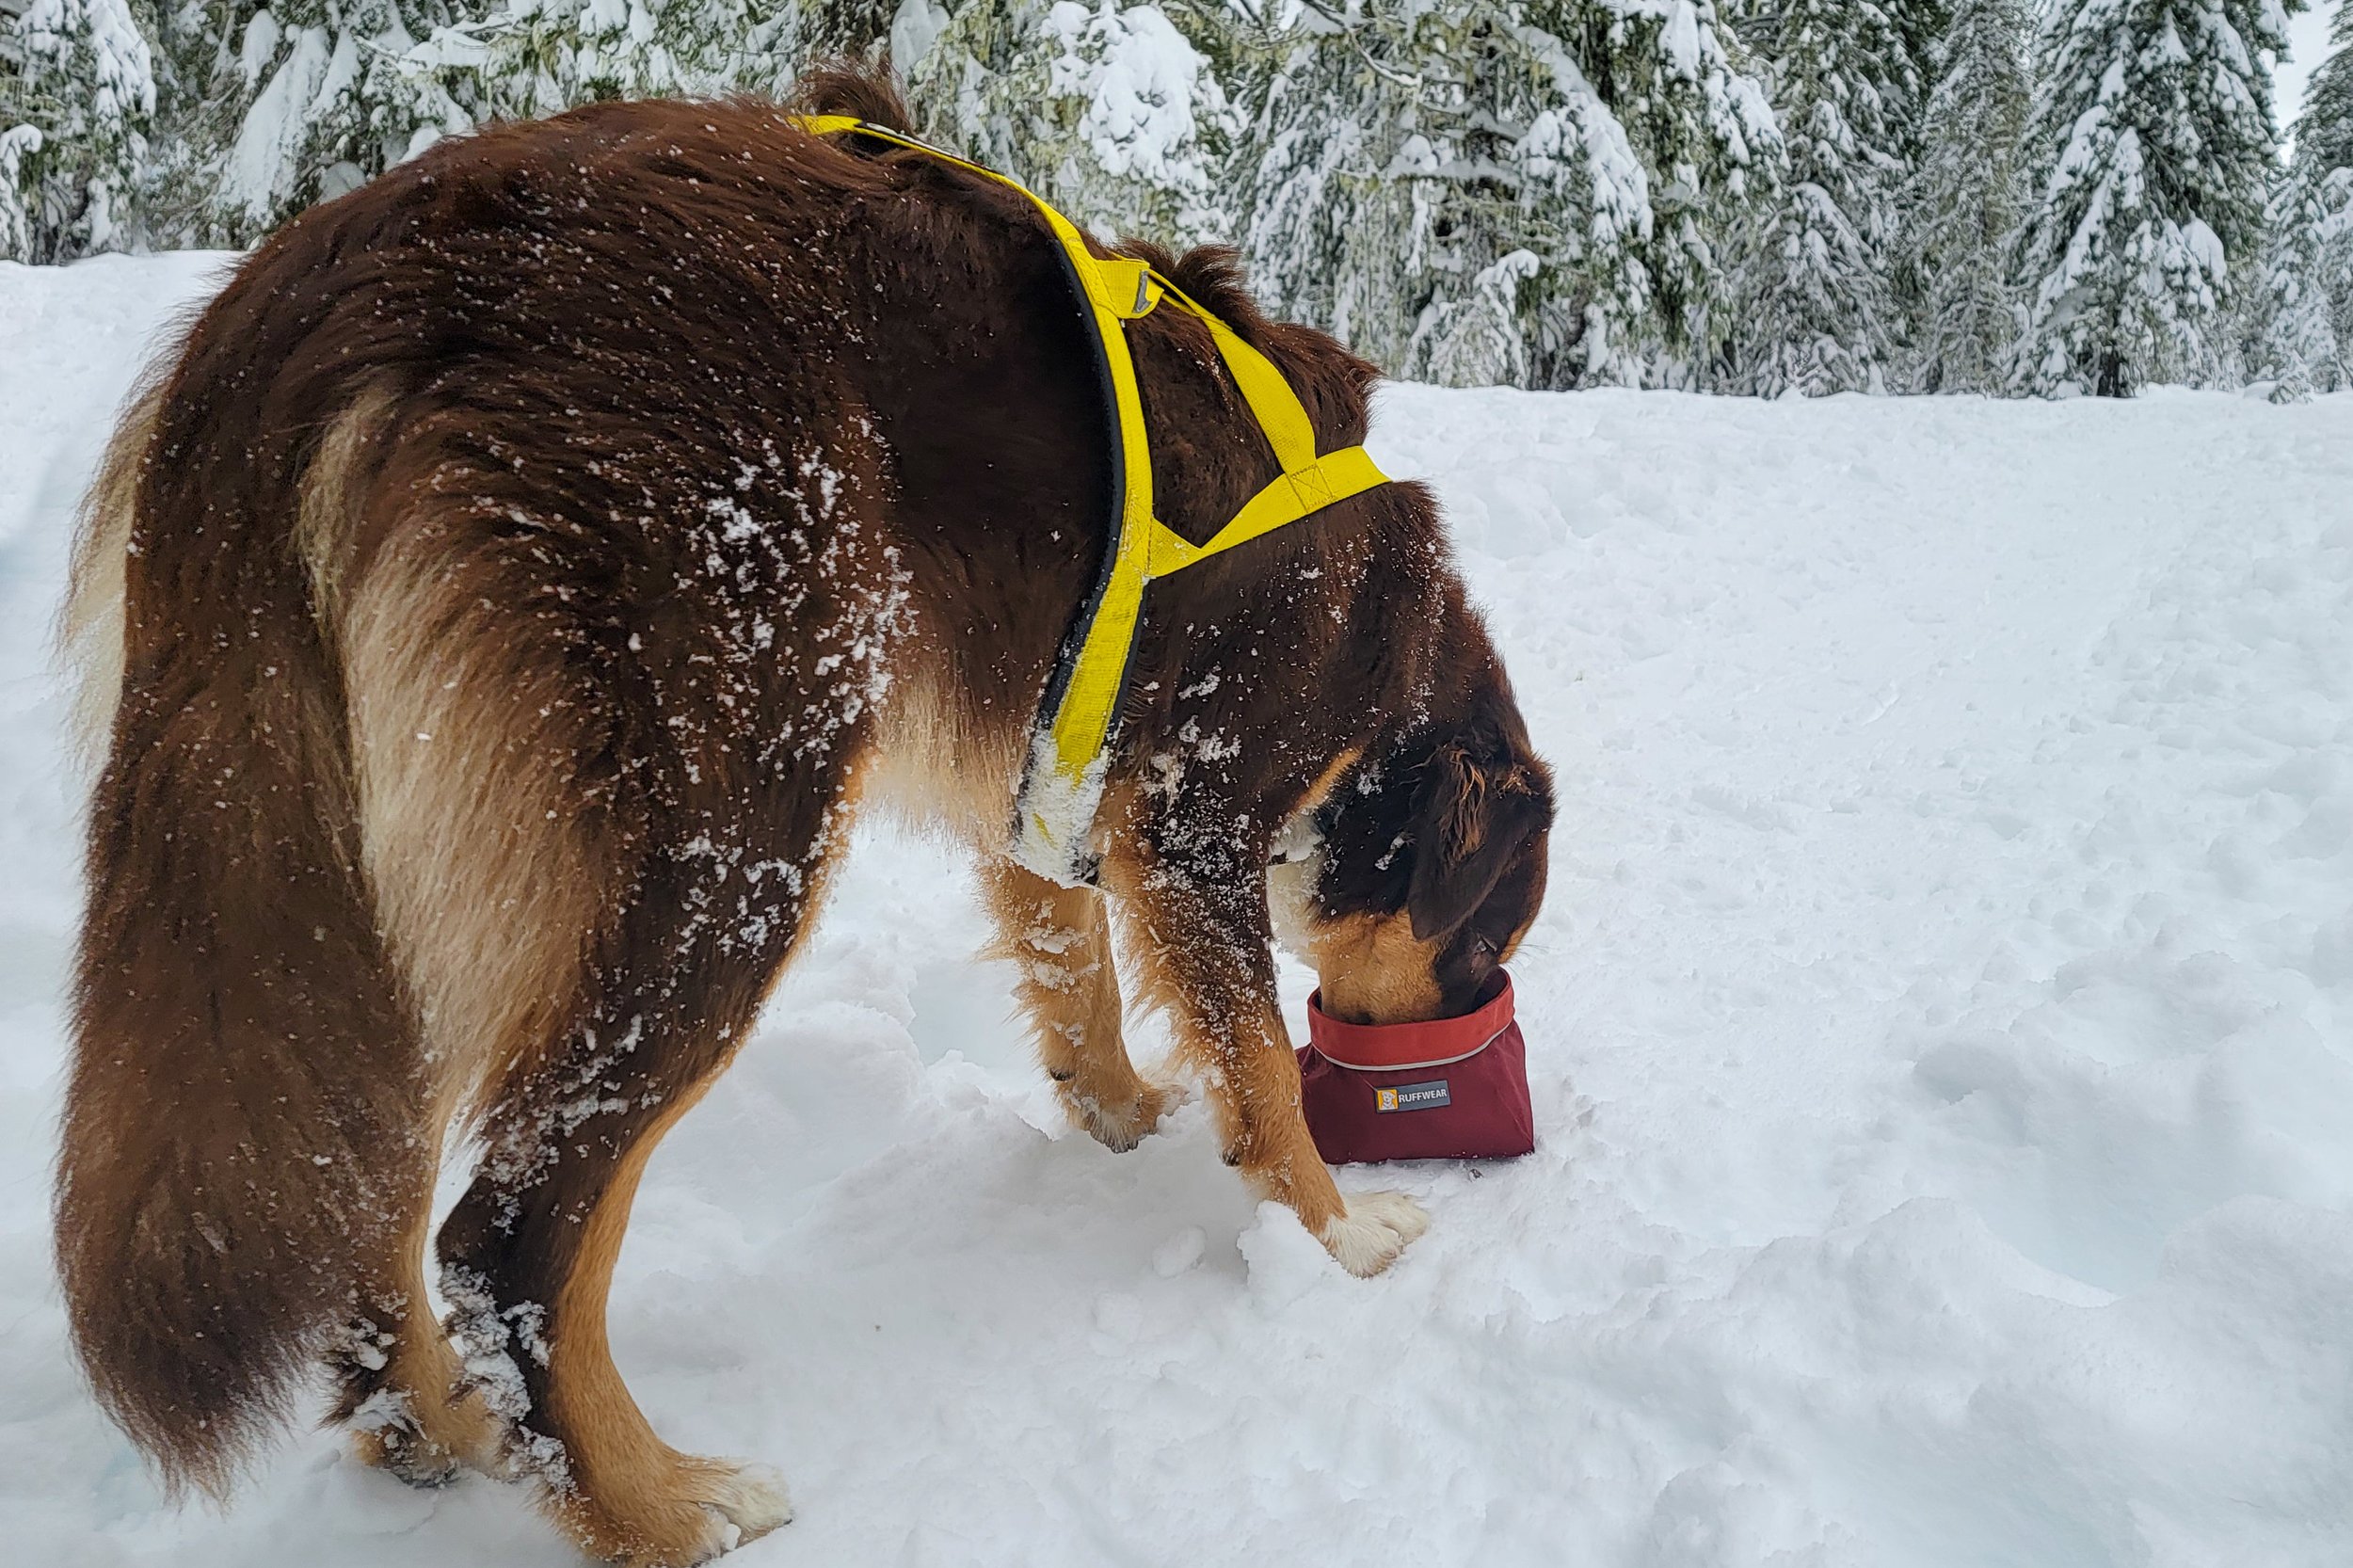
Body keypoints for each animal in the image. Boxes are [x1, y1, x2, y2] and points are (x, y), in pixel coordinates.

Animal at [55, 67, 1553, 1553]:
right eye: (1485, 945)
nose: (1457, 1042)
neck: (1389, 646)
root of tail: (340, 280)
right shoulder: (1199, 808)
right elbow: (1253, 1056)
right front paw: (1337, 1235)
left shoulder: (1051, 772)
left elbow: (1071, 962)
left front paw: (1120, 1106)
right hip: (733, 826)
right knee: (508, 1235)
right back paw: (657, 1503)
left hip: (383, 885)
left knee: (369, 1171)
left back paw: (432, 1426)